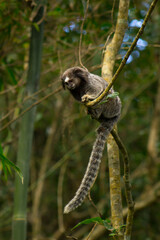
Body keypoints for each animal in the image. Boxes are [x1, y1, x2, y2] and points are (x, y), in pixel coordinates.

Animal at [61, 66, 121, 214]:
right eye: (66, 83)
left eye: (71, 80)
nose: (69, 85)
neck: (79, 86)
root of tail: (118, 112)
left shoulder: (92, 84)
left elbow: (98, 90)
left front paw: (88, 97)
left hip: (112, 105)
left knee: (105, 96)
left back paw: (96, 112)